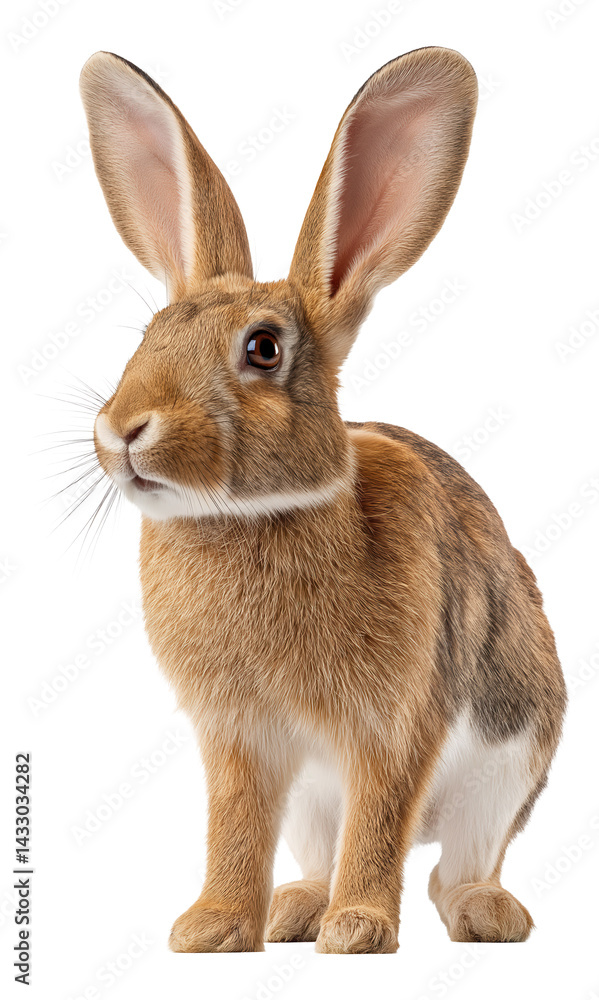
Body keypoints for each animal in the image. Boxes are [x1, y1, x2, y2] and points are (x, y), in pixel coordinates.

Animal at [79, 46, 566, 954]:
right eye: (149, 337)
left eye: (263, 349)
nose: (123, 429)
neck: (249, 518)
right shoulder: (239, 740)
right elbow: (234, 828)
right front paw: (211, 928)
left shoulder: (393, 723)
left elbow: (377, 818)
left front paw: (360, 930)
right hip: (315, 804)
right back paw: (296, 907)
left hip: (509, 765)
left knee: (452, 866)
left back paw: (481, 913)